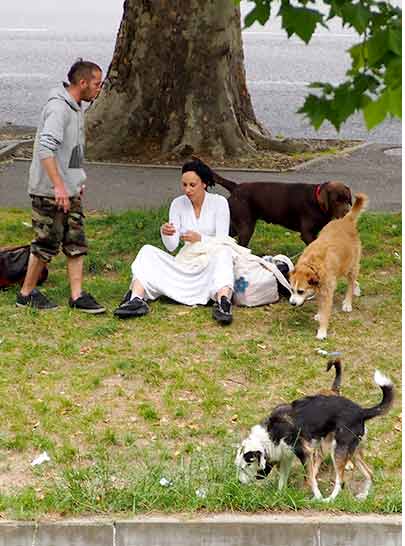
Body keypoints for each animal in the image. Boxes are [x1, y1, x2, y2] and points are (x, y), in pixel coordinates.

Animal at [193, 159, 350, 244]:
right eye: (336, 200)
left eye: (347, 200)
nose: (347, 214)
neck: (317, 201)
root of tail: (236, 186)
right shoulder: (307, 233)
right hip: (246, 226)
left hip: (236, 223)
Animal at [235, 364, 392, 500]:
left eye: (244, 467)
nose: (239, 483)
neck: (271, 433)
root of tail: (361, 412)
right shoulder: (286, 457)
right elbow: (282, 481)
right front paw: (279, 496)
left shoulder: (305, 453)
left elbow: (311, 479)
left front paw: (318, 498)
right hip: (352, 451)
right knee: (370, 473)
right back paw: (364, 495)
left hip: (337, 451)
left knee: (340, 481)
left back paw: (329, 500)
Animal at [288, 191, 366, 336]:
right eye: (291, 290)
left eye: (300, 291)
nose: (292, 303)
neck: (312, 265)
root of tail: (345, 220)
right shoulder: (319, 289)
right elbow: (320, 305)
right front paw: (319, 314)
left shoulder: (327, 291)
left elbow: (326, 312)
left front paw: (322, 332)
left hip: (351, 267)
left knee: (351, 284)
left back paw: (348, 302)